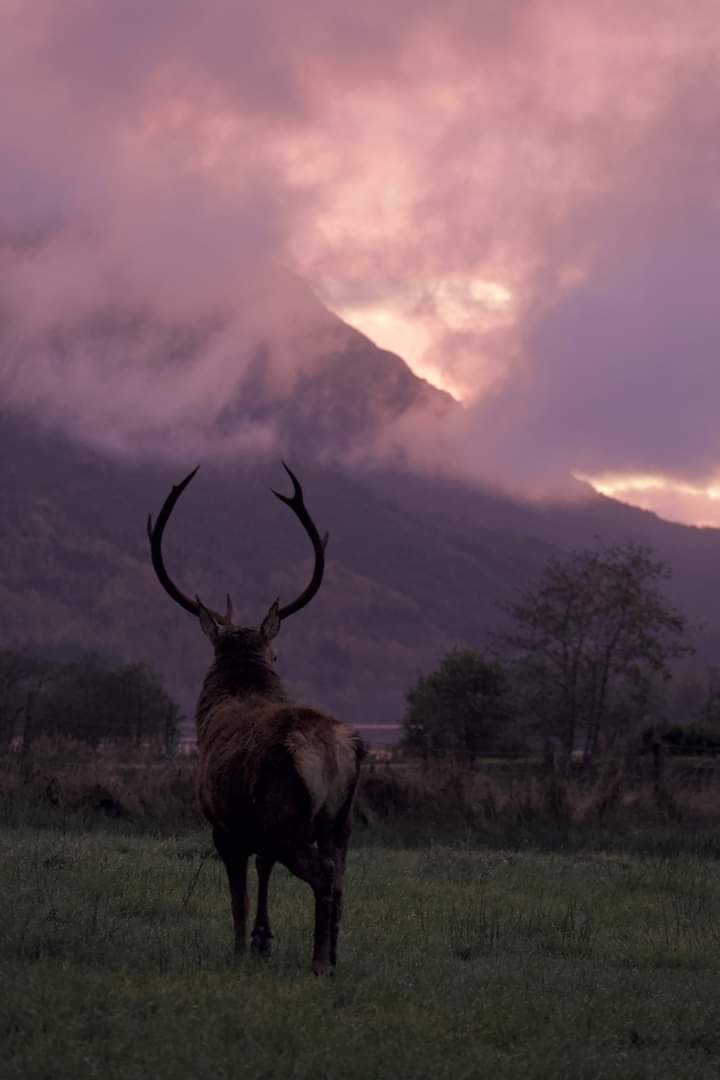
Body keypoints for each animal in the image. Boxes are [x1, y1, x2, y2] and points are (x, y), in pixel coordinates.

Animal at [147, 464, 364, 975]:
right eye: (276, 652)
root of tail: (332, 750)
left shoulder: (223, 823)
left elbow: (238, 895)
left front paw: (242, 948)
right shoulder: (256, 830)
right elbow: (263, 870)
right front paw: (264, 938)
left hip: (288, 815)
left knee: (322, 875)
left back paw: (319, 963)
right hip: (342, 821)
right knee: (340, 877)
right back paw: (335, 957)